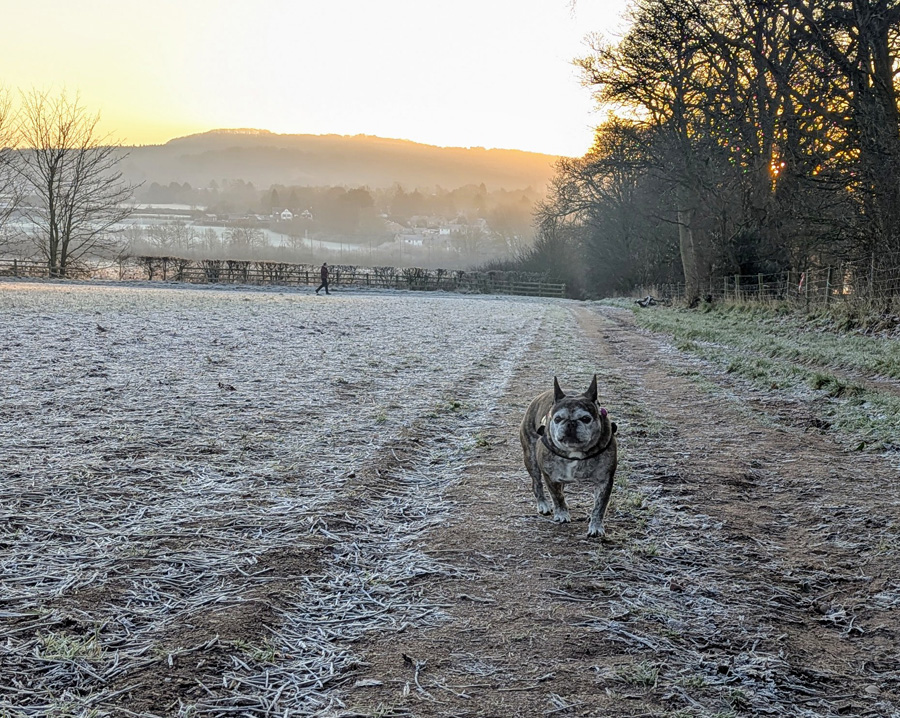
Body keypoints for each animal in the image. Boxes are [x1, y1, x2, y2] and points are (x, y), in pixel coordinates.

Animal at [520, 376, 620, 540]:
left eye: (586, 418)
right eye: (557, 418)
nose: (571, 424)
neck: (575, 452)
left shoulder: (604, 480)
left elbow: (599, 506)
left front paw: (596, 527)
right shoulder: (550, 475)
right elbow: (557, 496)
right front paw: (561, 513)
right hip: (531, 459)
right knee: (537, 483)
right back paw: (543, 504)